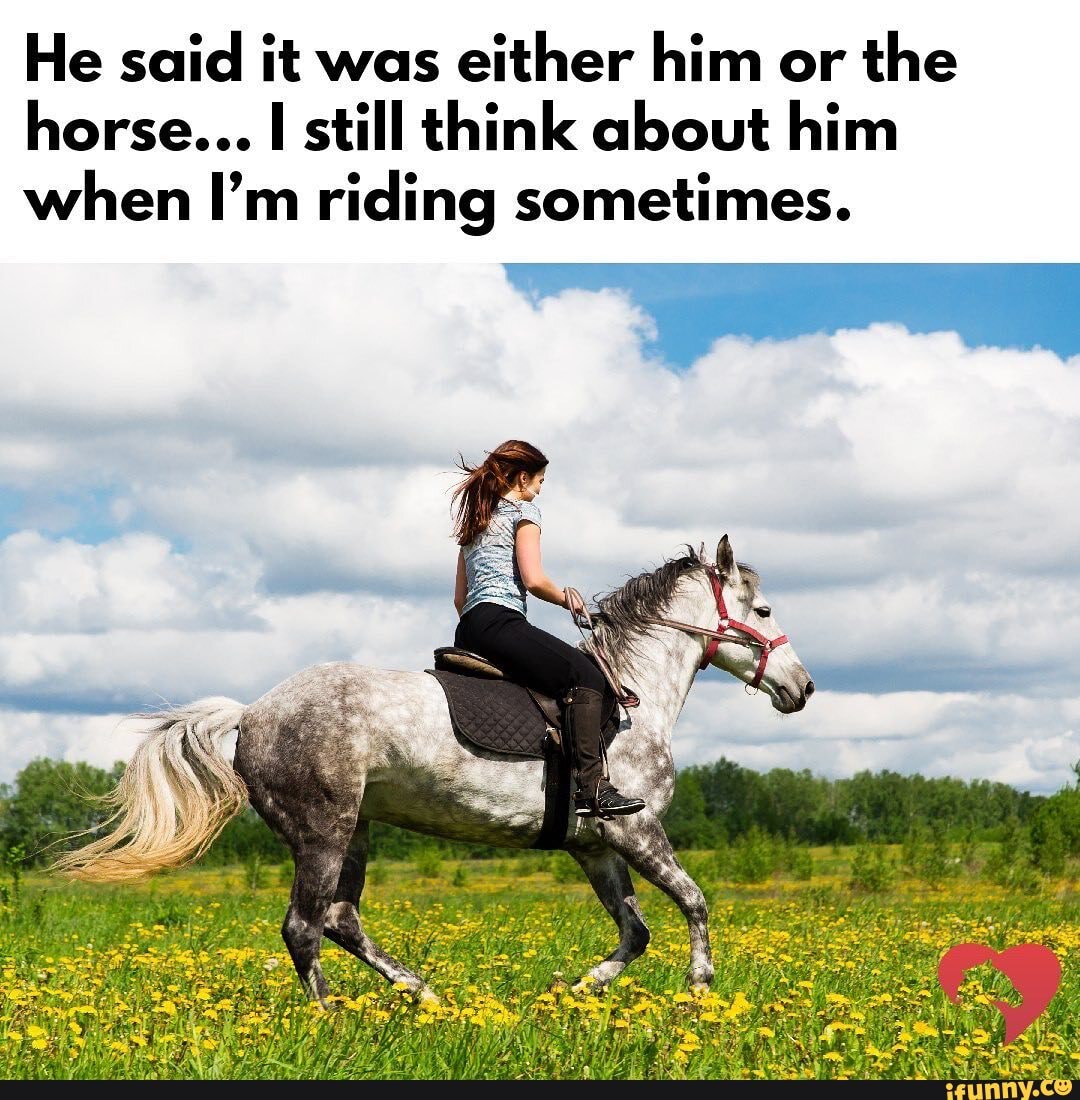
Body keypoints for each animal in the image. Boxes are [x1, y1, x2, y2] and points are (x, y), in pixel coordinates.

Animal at [55, 536, 813, 1005]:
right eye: (764, 609)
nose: (802, 689)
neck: (632, 697)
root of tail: (252, 713)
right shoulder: (635, 829)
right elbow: (694, 901)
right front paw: (699, 990)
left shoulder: (594, 845)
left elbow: (635, 930)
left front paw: (576, 990)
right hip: (323, 830)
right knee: (304, 927)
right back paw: (330, 1015)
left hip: (354, 831)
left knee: (340, 919)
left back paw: (422, 993)